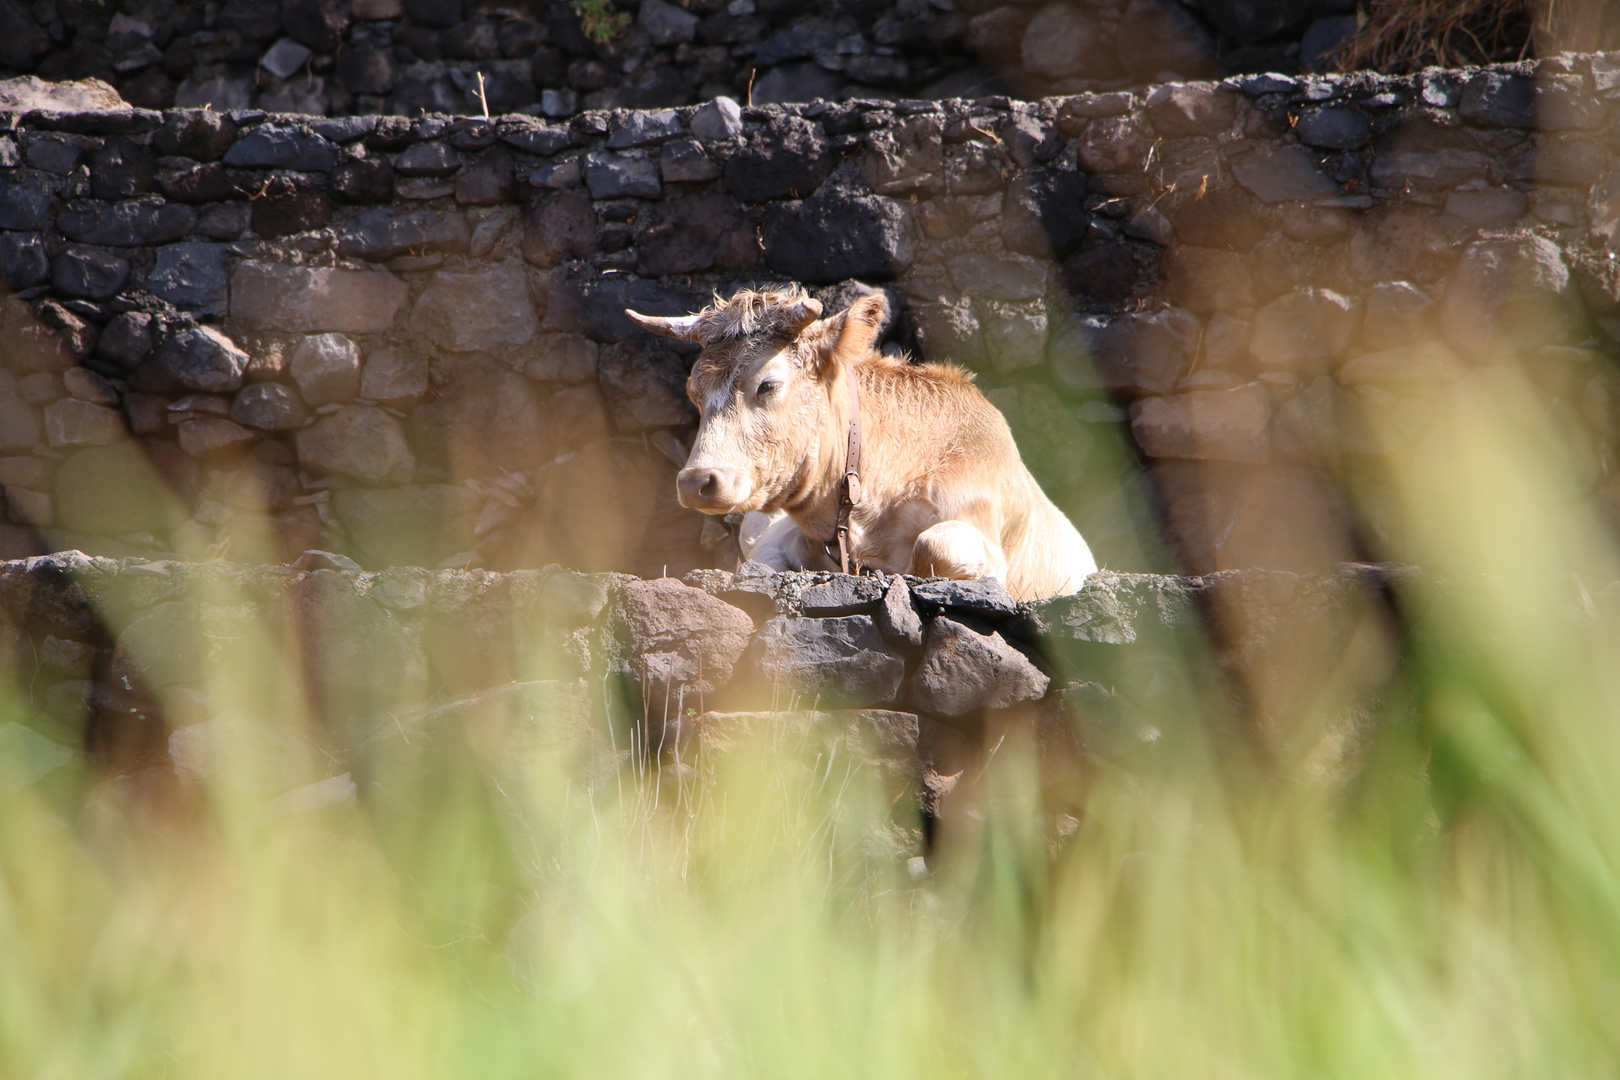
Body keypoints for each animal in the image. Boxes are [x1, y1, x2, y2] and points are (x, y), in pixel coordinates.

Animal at [622, 289, 1101, 599]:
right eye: (694, 392)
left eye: (768, 384)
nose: (697, 481)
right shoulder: (772, 539)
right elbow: (762, 563)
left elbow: (931, 546)